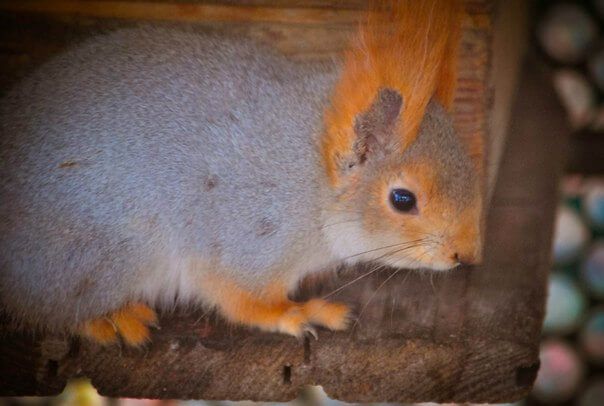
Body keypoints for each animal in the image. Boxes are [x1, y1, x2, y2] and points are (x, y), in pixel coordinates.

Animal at [0, 1, 482, 348]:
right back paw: (111, 319)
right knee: (49, 309)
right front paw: (297, 313)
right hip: (100, 255)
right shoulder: (244, 238)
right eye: (403, 200)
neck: (308, 179)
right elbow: (241, 300)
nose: (465, 255)